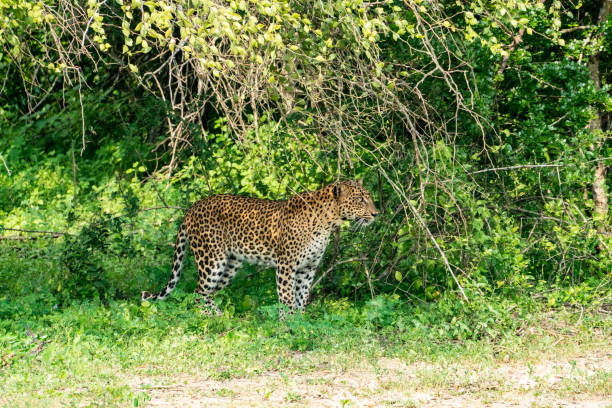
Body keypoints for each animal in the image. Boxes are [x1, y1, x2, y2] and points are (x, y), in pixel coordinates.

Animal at [142, 180, 378, 318]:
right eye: (360, 199)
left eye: (369, 198)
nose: (376, 214)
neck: (328, 221)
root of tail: (192, 207)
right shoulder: (286, 265)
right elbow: (287, 298)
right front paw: (287, 325)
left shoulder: (308, 268)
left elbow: (301, 298)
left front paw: (300, 322)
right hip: (212, 260)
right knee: (198, 293)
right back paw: (209, 318)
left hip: (230, 265)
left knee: (209, 293)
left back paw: (222, 316)